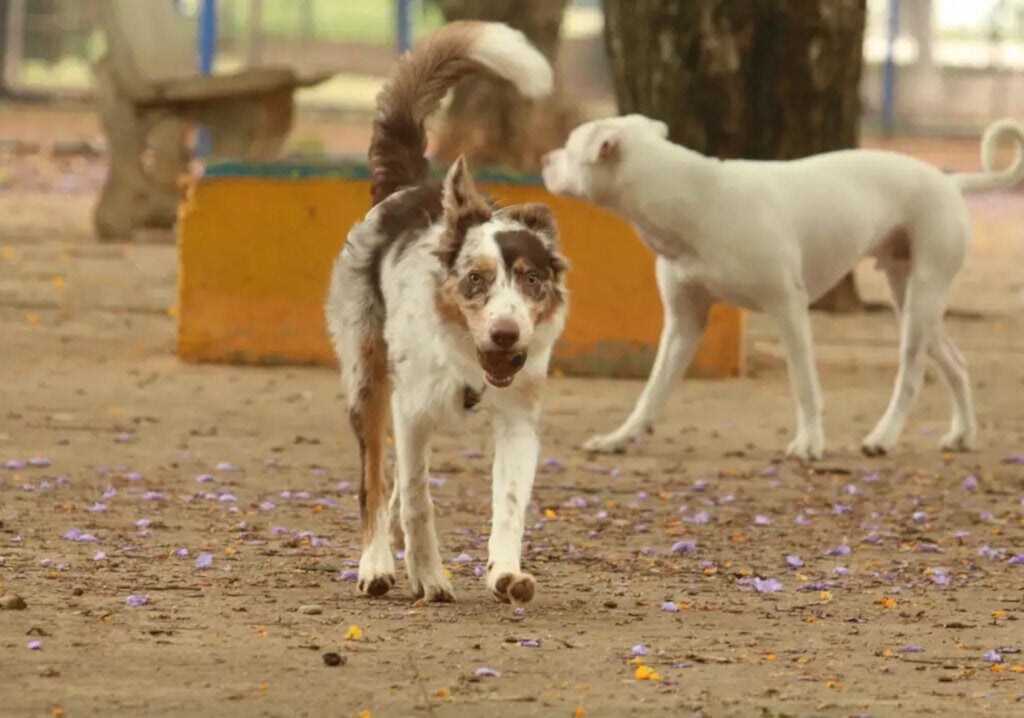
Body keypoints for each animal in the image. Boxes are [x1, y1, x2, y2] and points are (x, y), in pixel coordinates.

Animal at [325, 22, 569, 602]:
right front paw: (429, 576)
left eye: (531, 279)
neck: (468, 362)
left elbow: (509, 505)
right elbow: (416, 498)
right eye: (475, 279)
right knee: (375, 483)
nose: (505, 334)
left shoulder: (519, 421)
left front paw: (505, 573)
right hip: (367, 379)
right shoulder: (410, 410)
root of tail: (408, 187)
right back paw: (377, 563)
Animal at [540, 112, 1019, 458]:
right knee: (957, 365)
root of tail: (950, 181)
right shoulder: (683, 323)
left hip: (922, 301)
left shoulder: (789, 308)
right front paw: (620, 437)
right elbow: (653, 390)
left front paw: (810, 443)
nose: (544, 159)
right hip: (911, 298)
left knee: (912, 374)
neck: (695, 200)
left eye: (569, 145)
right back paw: (963, 435)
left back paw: (882, 438)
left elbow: (804, 384)